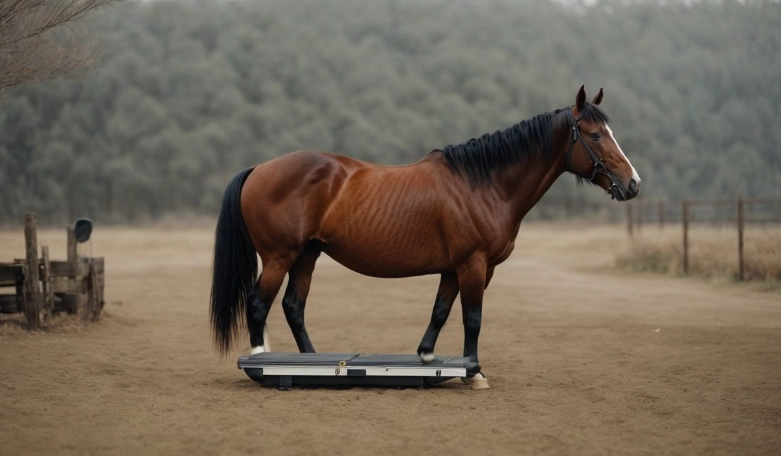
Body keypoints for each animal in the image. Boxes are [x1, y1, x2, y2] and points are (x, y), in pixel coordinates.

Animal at [210, 86, 641, 389]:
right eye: (594, 135)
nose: (633, 184)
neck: (482, 184)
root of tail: (258, 168)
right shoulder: (474, 265)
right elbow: (472, 318)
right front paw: (476, 373)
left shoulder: (454, 269)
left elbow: (440, 312)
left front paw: (428, 357)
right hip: (280, 256)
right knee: (258, 304)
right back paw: (262, 363)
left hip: (307, 255)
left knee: (293, 307)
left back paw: (314, 361)